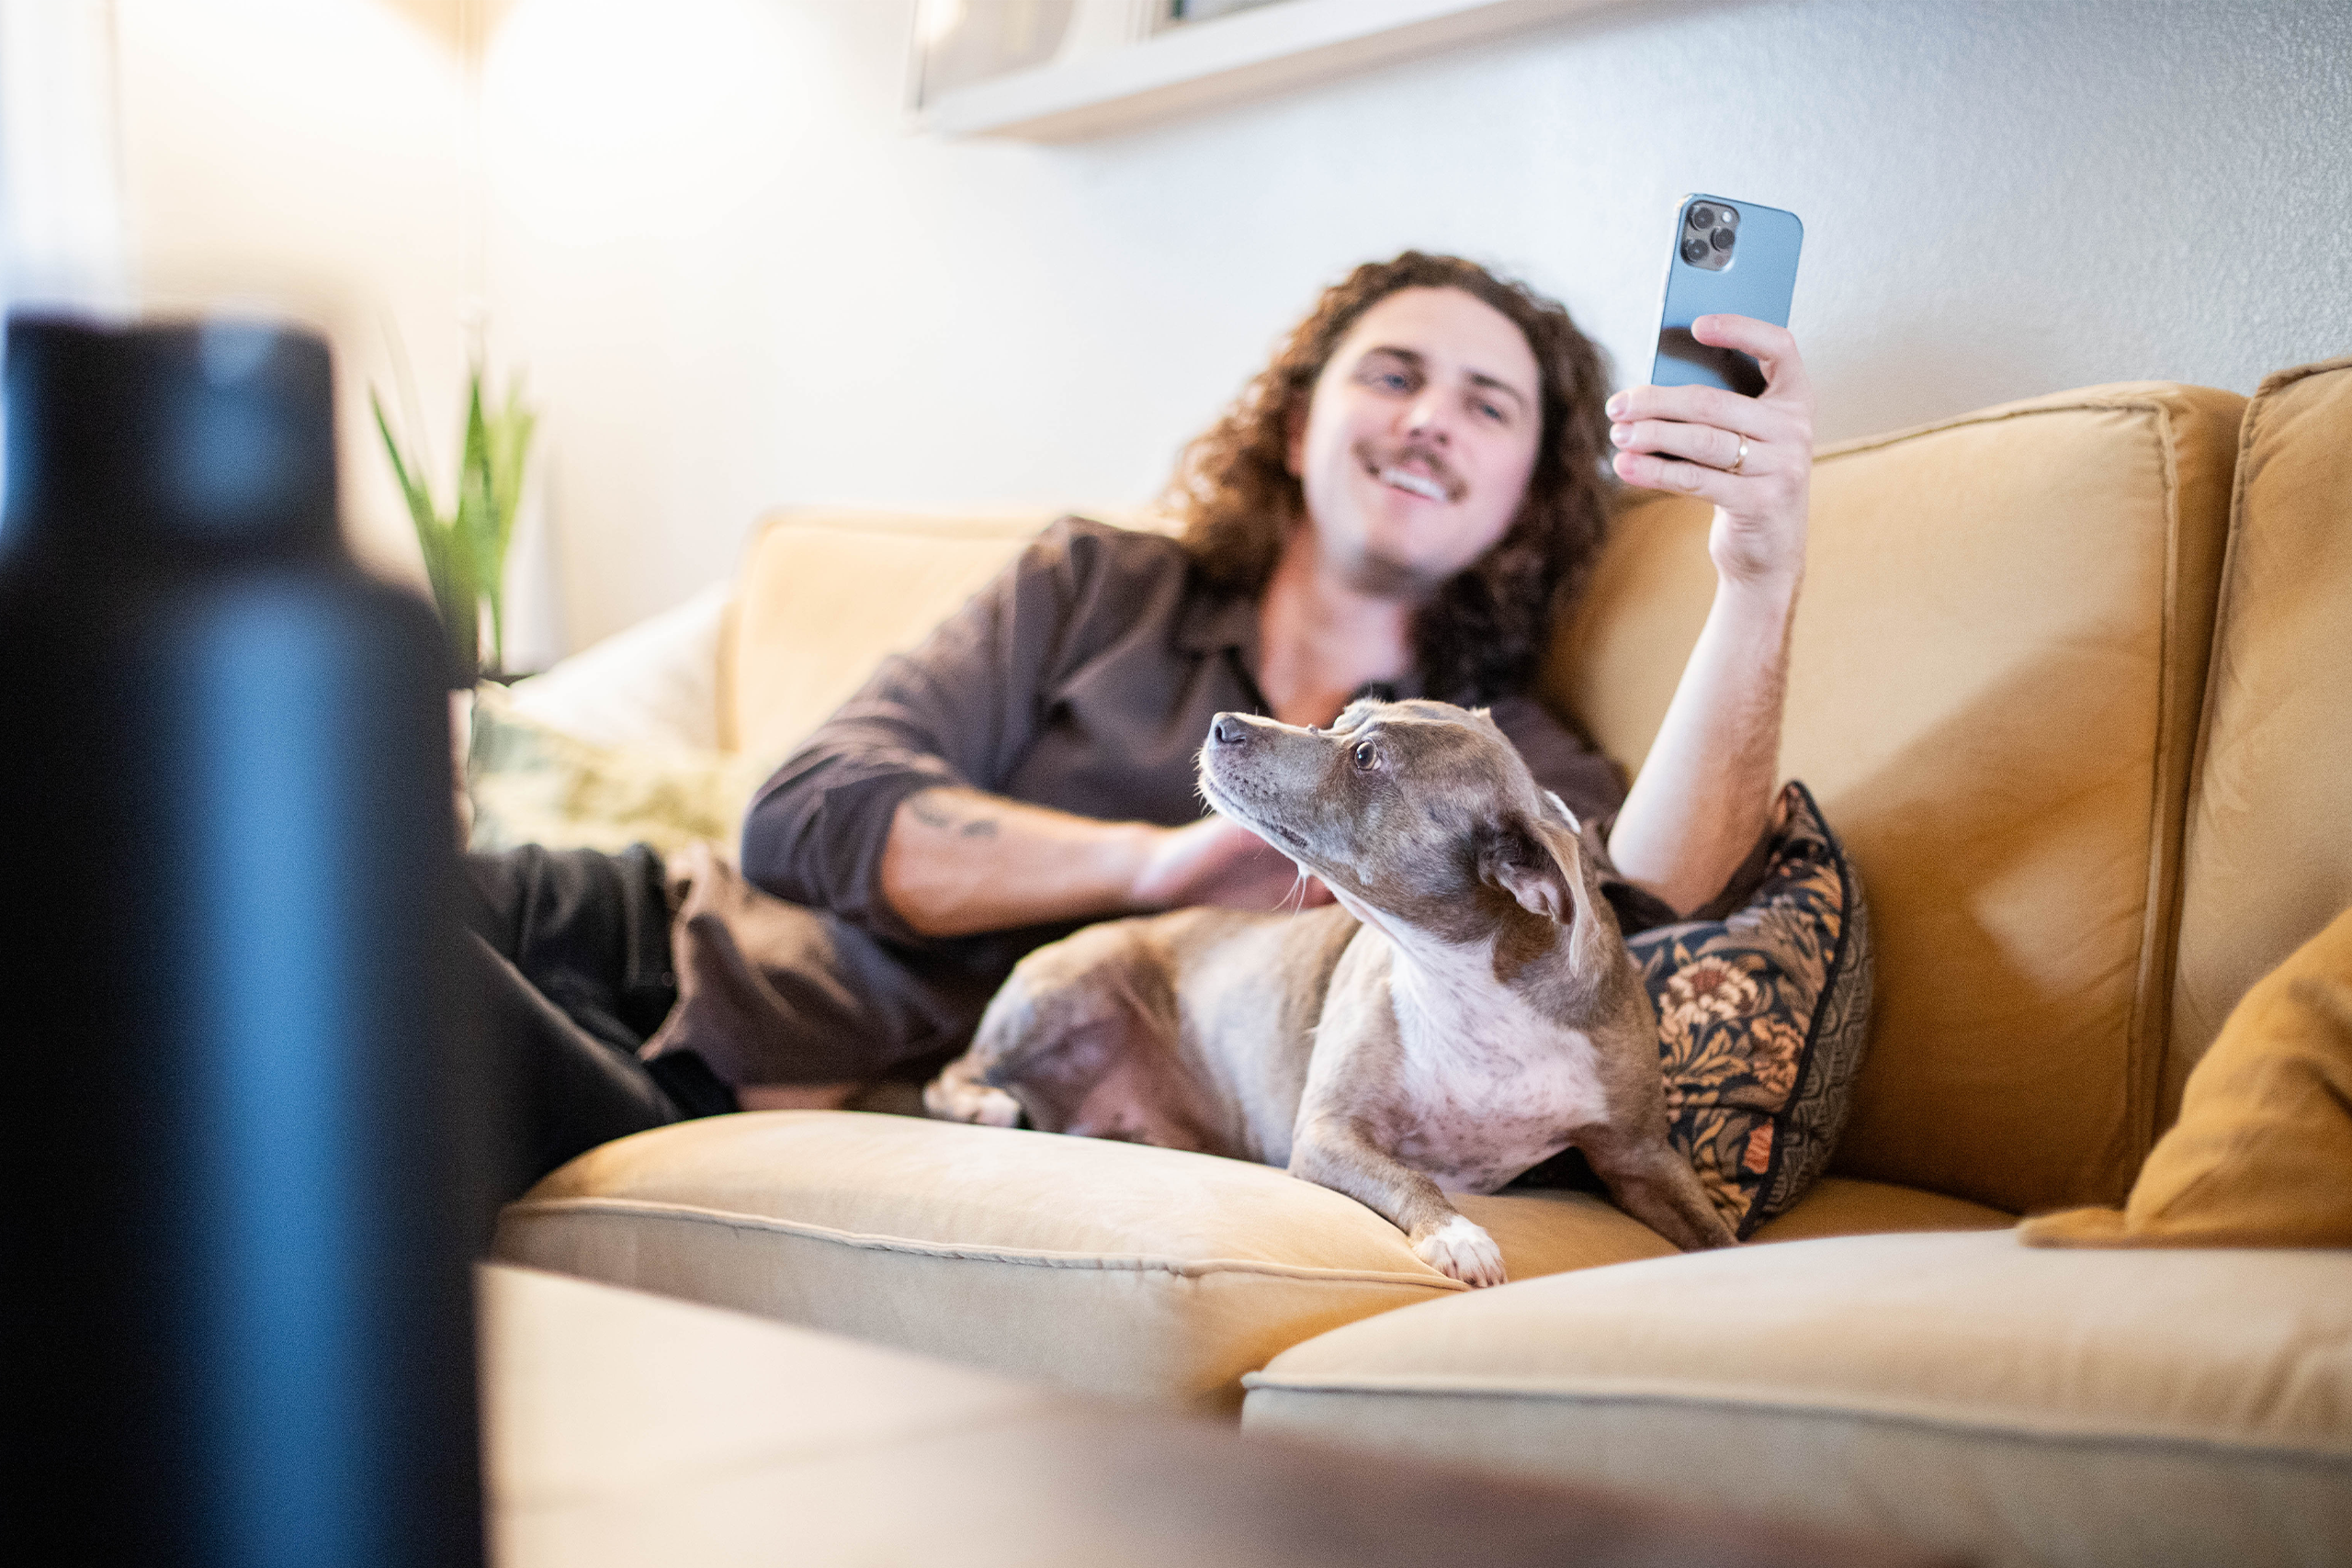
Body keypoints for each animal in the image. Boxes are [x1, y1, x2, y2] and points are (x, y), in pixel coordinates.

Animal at [926, 700, 1740, 1288]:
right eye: (1345, 718)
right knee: (951, 1075)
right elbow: (1412, 1176)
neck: (1467, 981)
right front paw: (1458, 1234)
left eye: (1367, 756)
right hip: (1069, 986)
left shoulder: (1640, 1156)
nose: (1223, 722)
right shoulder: (1327, 1131)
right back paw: (980, 1100)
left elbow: (1715, 1233)